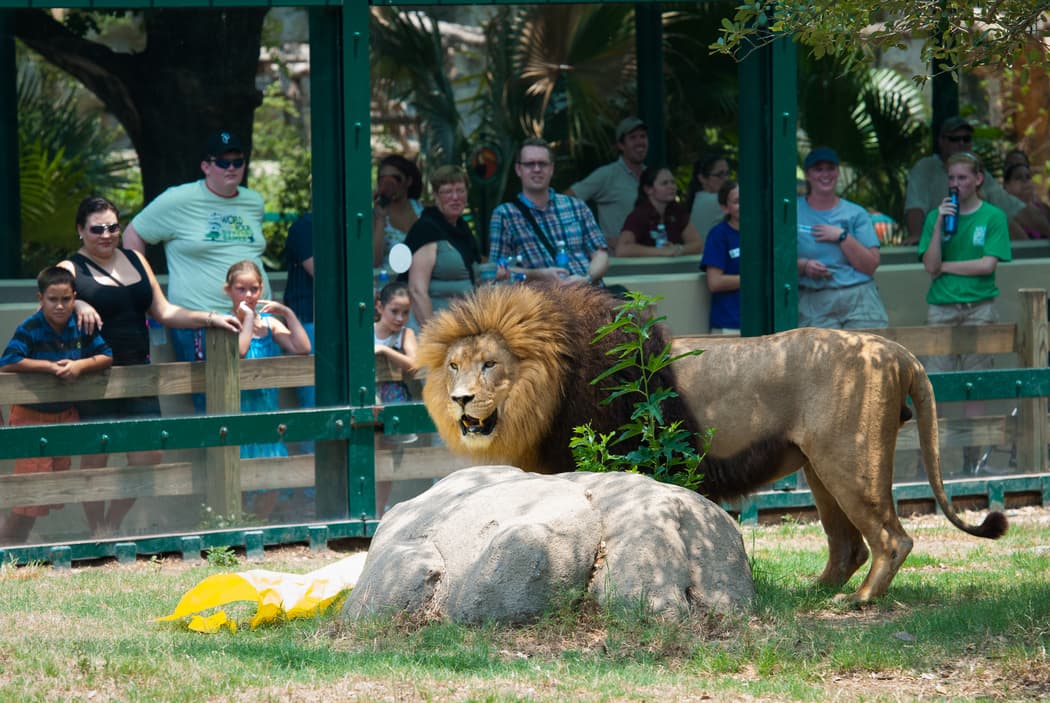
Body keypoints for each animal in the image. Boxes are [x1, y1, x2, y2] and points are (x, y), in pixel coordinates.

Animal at [416, 282, 1008, 603]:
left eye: (490, 365)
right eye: (454, 366)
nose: (461, 400)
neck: (545, 392)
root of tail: (894, 350)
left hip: (849, 459)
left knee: (891, 539)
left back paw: (860, 601)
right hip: (819, 468)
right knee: (848, 545)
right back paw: (813, 592)